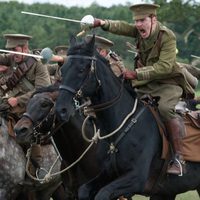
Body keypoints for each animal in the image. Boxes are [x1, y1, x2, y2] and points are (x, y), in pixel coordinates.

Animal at [55, 36, 200, 200]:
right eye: (63, 70)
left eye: (81, 69)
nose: (61, 110)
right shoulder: (107, 173)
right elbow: (84, 190)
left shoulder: (135, 179)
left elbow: (103, 194)